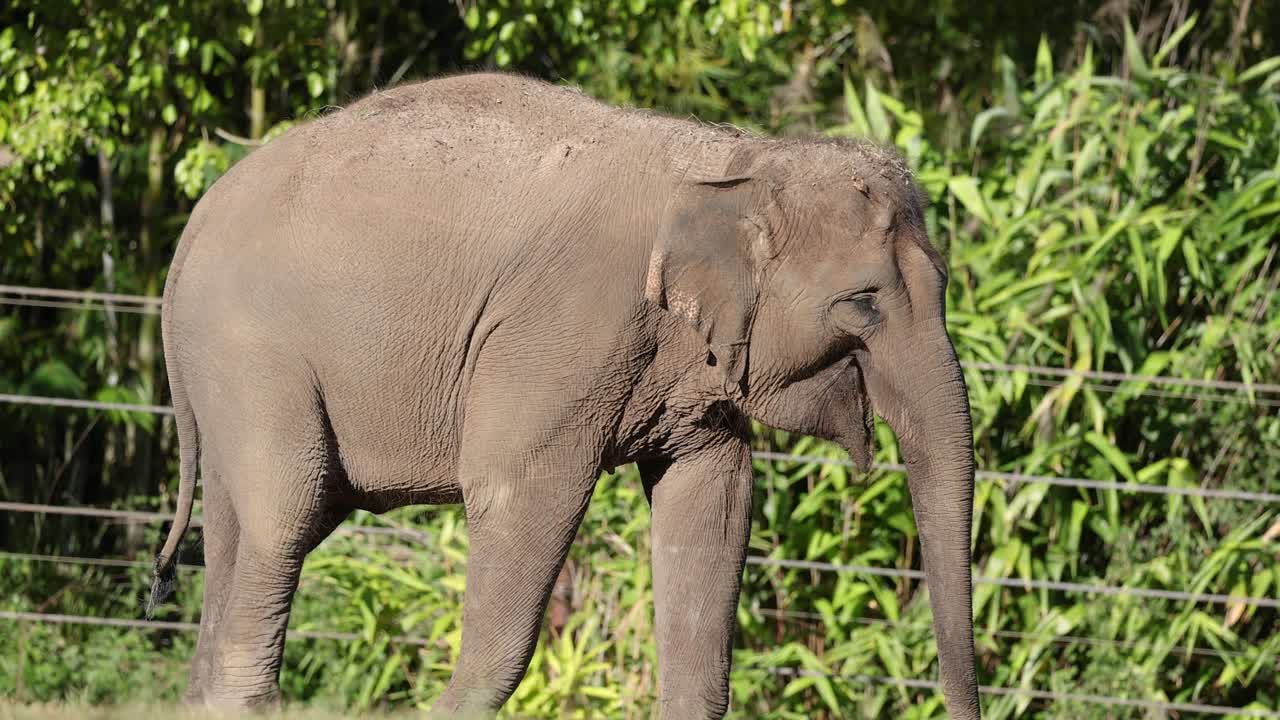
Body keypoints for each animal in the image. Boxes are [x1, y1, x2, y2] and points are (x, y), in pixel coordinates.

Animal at [149, 72, 979, 719]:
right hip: (251, 350)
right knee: (287, 511)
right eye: (863, 303)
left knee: (238, 529)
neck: (734, 158)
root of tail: (189, 231)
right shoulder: (562, 327)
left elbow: (714, 497)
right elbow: (516, 492)